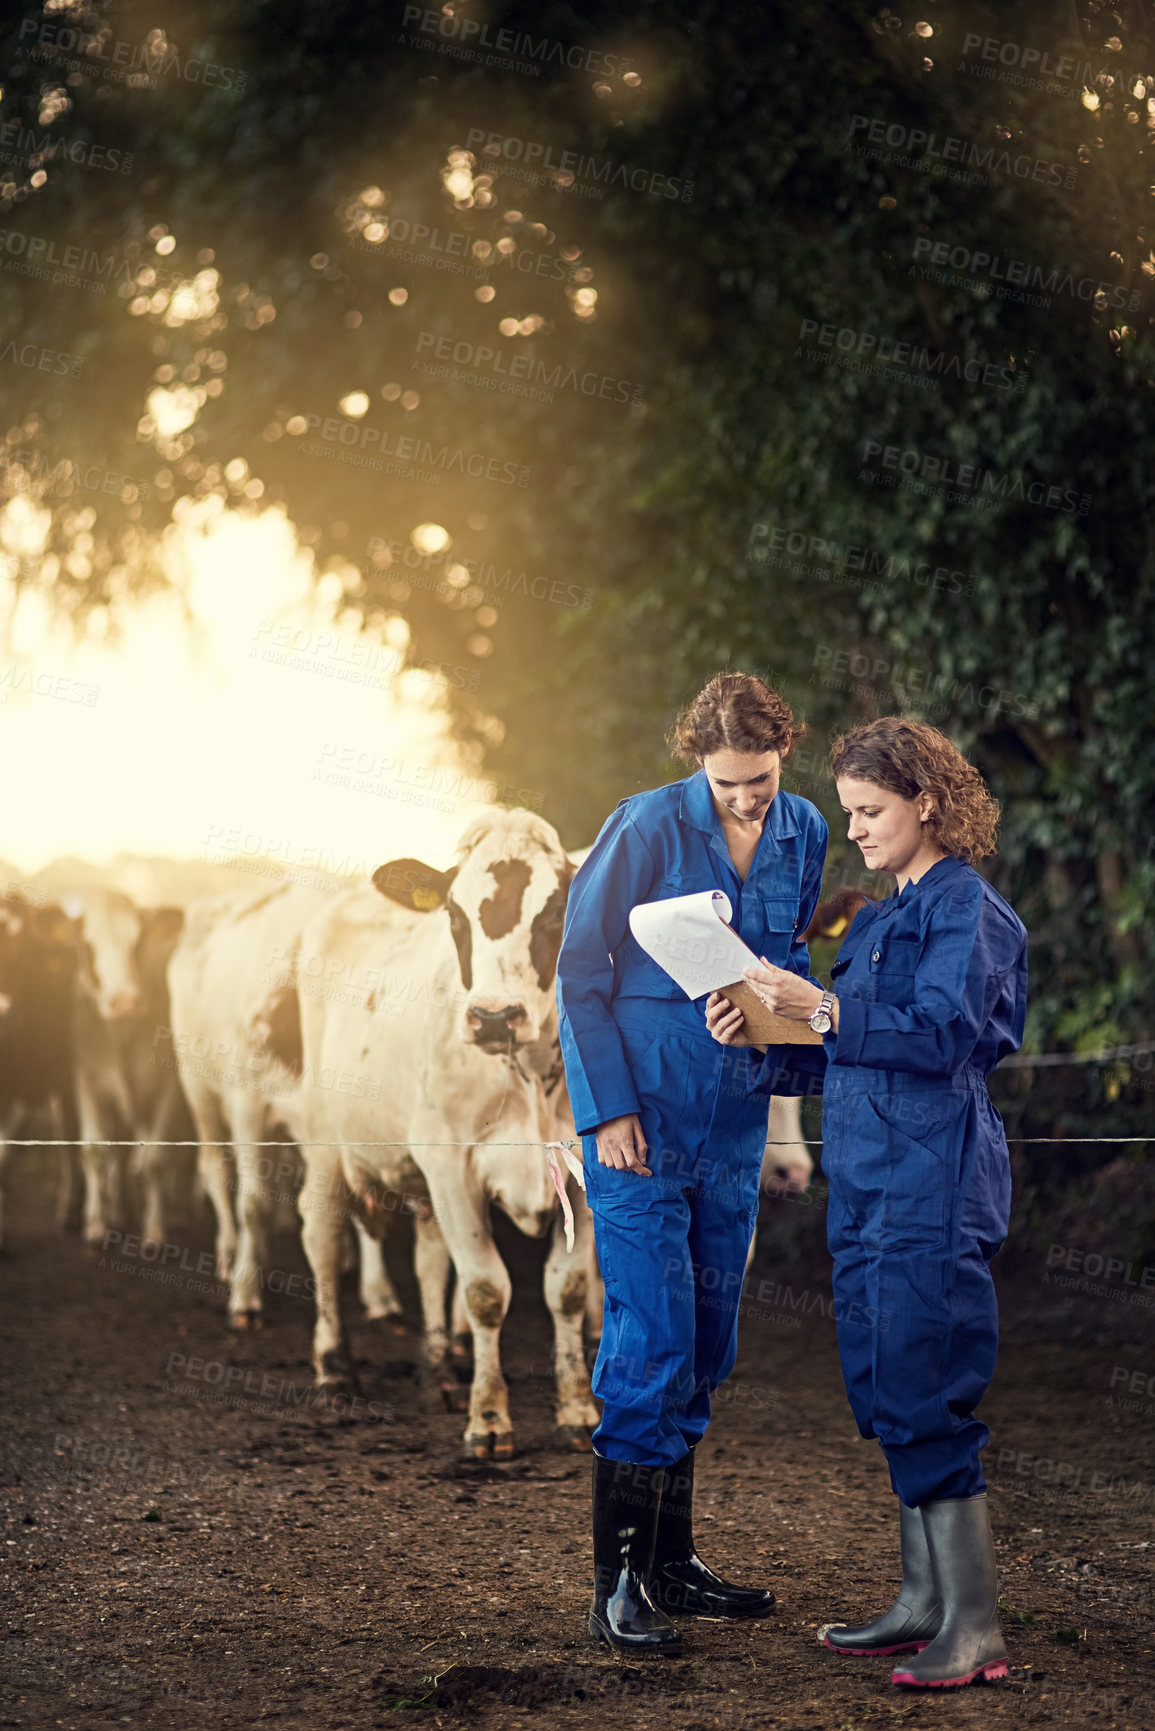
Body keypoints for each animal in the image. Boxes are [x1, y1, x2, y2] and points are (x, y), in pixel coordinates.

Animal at [294, 803, 602, 1454]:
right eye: (455, 915)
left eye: (555, 912)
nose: (493, 1017)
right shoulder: (453, 1165)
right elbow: (486, 1291)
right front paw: (489, 1418)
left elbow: (566, 1290)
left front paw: (575, 1409)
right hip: (327, 1141)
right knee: (323, 1234)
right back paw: (334, 1370)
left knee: (431, 1256)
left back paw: (438, 1371)